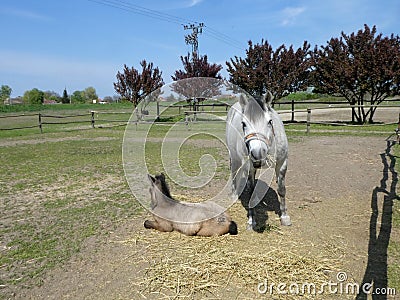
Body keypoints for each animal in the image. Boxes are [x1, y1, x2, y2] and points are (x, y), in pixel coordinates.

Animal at [225, 92, 290, 230]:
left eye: (270, 122)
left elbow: (281, 189)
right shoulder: (249, 167)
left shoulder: (282, 164)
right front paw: (251, 221)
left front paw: (285, 217)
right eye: (243, 124)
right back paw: (233, 195)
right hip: (234, 158)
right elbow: (251, 194)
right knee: (234, 174)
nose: (257, 154)